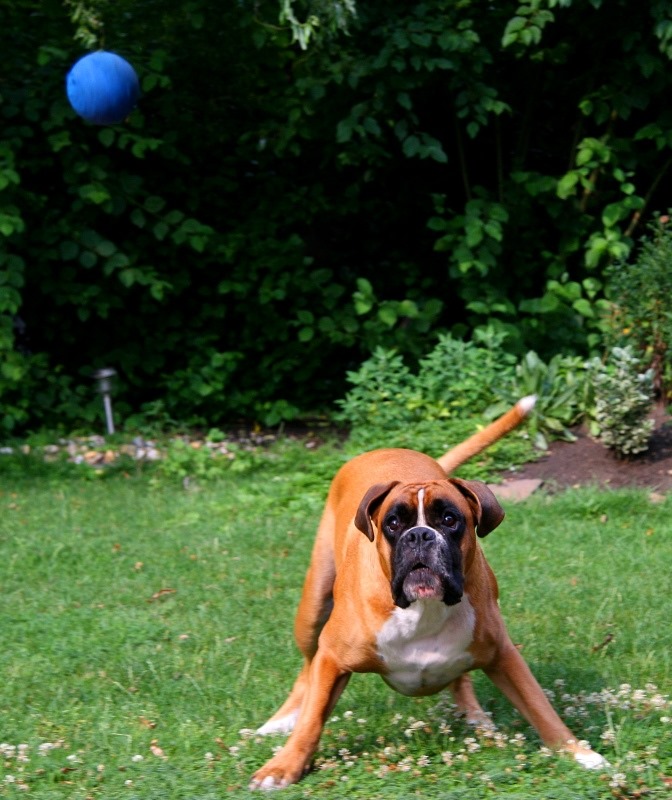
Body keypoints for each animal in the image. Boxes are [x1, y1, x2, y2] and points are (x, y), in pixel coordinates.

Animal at [249, 396, 608, 792]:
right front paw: (283, 766)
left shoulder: (504, 654)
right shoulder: (332, 656)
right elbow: (313, 717)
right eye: (393, 523)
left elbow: (540, 707)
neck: (423, 608)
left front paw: (579, 753)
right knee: (307, 668)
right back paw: (281, 720)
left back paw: (475, 716)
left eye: (450, 520)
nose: (420, 535)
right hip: (314, 606)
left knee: (461, 677)